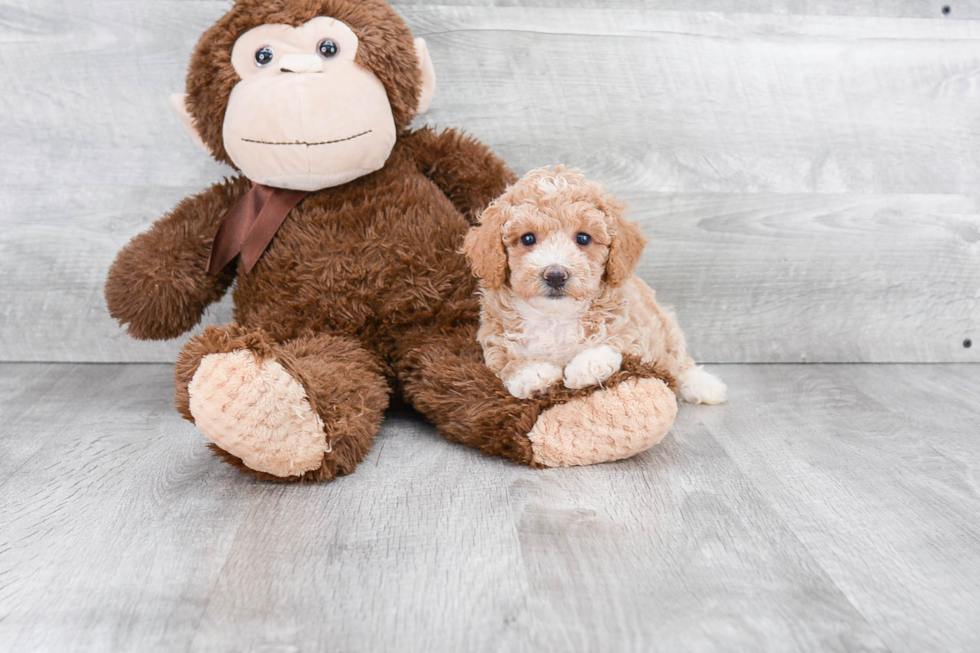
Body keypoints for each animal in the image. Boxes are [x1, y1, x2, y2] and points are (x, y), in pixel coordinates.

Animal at [462, 164, 728, 402]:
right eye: (527, 238)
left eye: (583, 238)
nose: (555, 274)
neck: (555, 318)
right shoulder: (494, 343)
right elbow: (510, 363)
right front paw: (533, 374)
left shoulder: (634, 330)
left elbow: (614, 342)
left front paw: (587, 366)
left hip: (665, 323)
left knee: (679, 360)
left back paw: (704, 386)